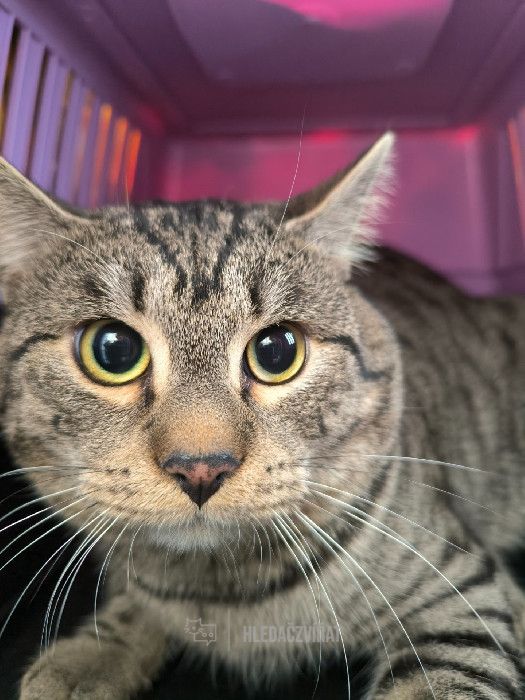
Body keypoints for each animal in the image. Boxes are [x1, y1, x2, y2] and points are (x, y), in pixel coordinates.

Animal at [0, 132, 523, 699]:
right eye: (113, 350)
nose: (201, 467)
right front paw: (90, 653)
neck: (222, 593)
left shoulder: (466, 590)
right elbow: (134, 602)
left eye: (277, 350)